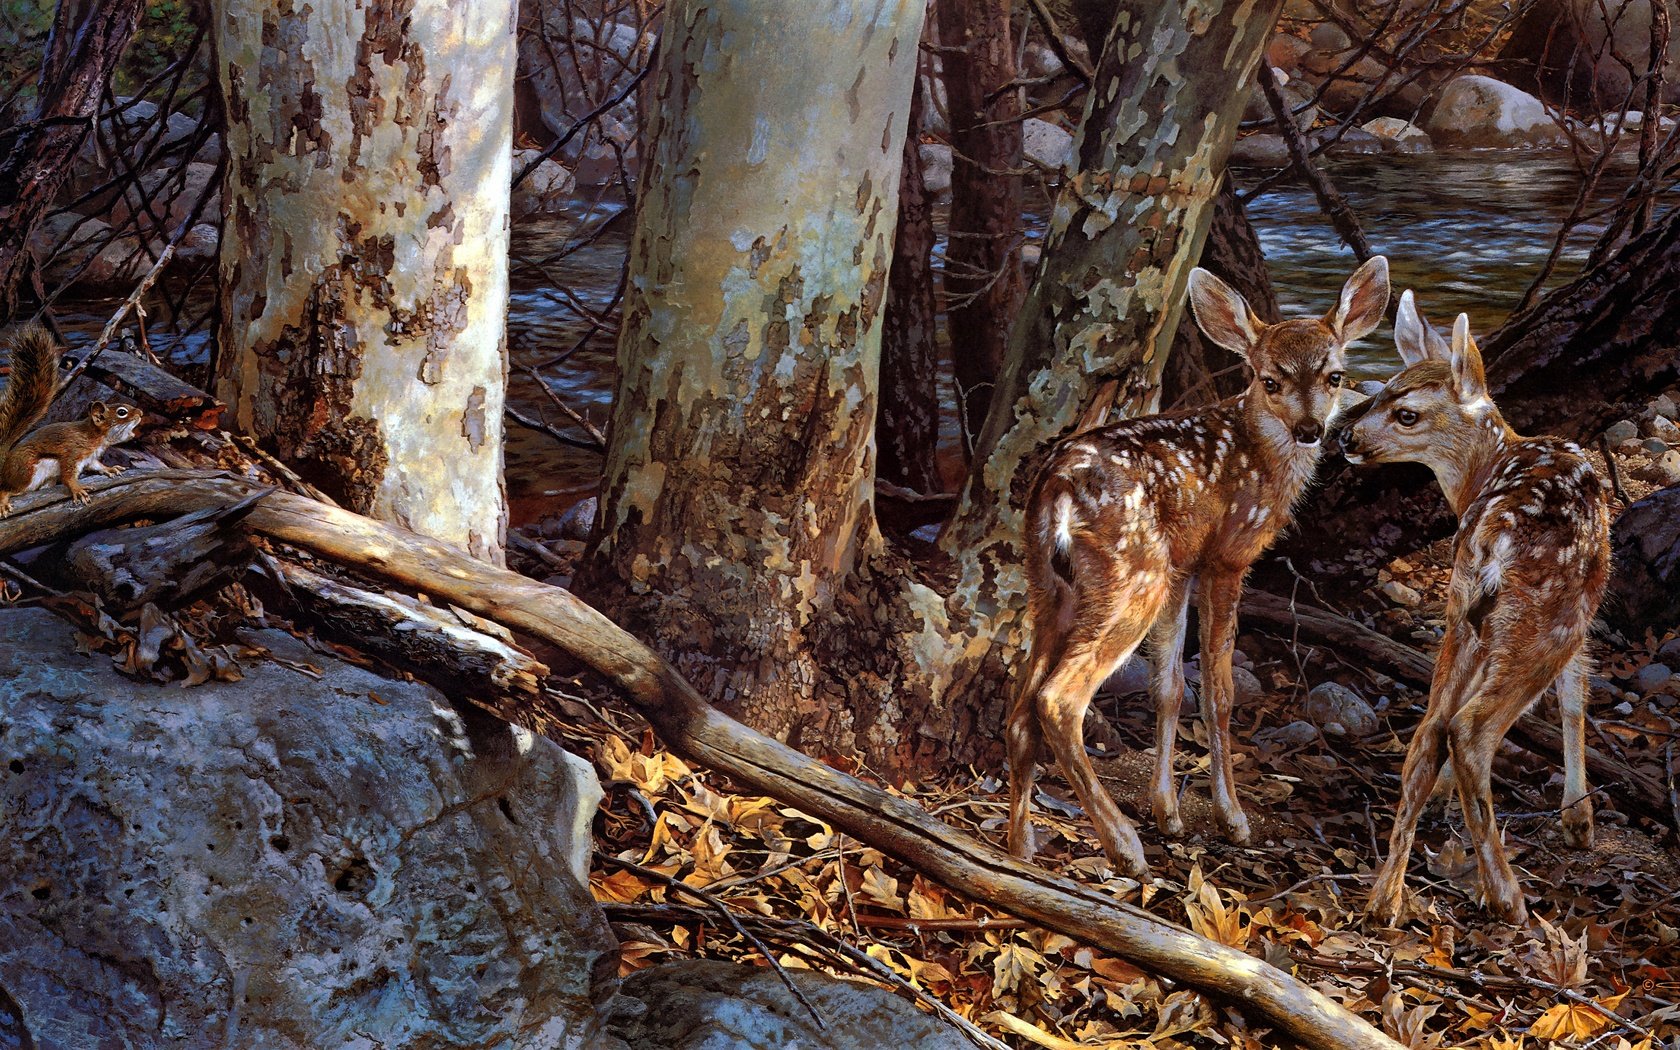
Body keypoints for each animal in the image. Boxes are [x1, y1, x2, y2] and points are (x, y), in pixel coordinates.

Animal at [0, 324, 141, 510]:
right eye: (122, 412)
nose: (141, 414)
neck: (95, 438)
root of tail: (4, 467)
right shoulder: (72, 452)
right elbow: (68, 475)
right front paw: (77, 489)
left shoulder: (90, 459)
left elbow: (97, 465)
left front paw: (110, 469)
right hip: (26, 472)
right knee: (7, 489)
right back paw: (3, 501)